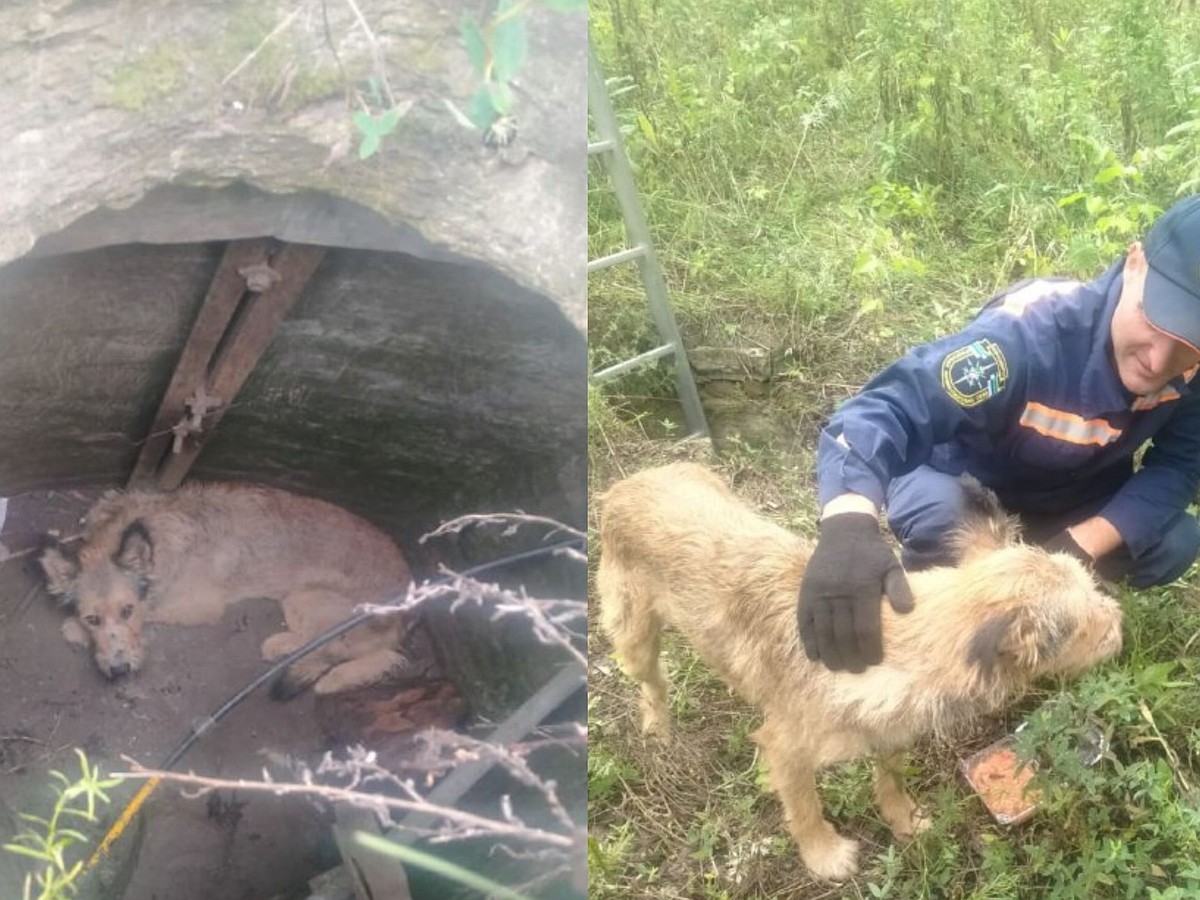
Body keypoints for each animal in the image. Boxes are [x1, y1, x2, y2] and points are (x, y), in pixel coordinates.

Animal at [38, 487, 412, 696]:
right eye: (93, 618)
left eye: (128, 610)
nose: (119, 672)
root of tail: (409, 607)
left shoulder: (201, 606)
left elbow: (152, 611)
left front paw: (73, 630)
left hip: (307, 597)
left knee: (349, 649)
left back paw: (306, 662)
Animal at [600, 465, 1123, 883]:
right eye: (1084, 624)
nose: (1120, 621)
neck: (901, 641)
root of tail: (630, 481)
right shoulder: (786, 750)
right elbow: (805, 809)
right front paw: (824, 855)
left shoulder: (890, 730)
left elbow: (890, 778)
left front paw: (902, 818)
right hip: (634, 634)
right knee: (652, 682)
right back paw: (658, 727)